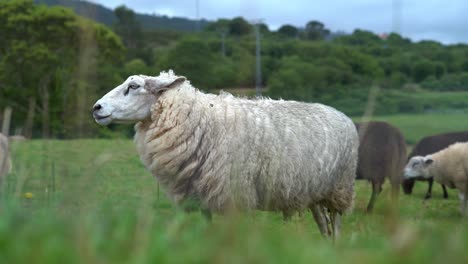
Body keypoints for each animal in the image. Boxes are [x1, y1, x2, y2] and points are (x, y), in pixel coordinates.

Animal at [91, 70, 358, 239]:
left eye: (133, 86)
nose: (96, 108)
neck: (200, 120)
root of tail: (339, 113)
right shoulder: (200, 198)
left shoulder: (235, 197)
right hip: (313, 190)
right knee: (323, 226)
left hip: (340, 188)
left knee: (336, 225)